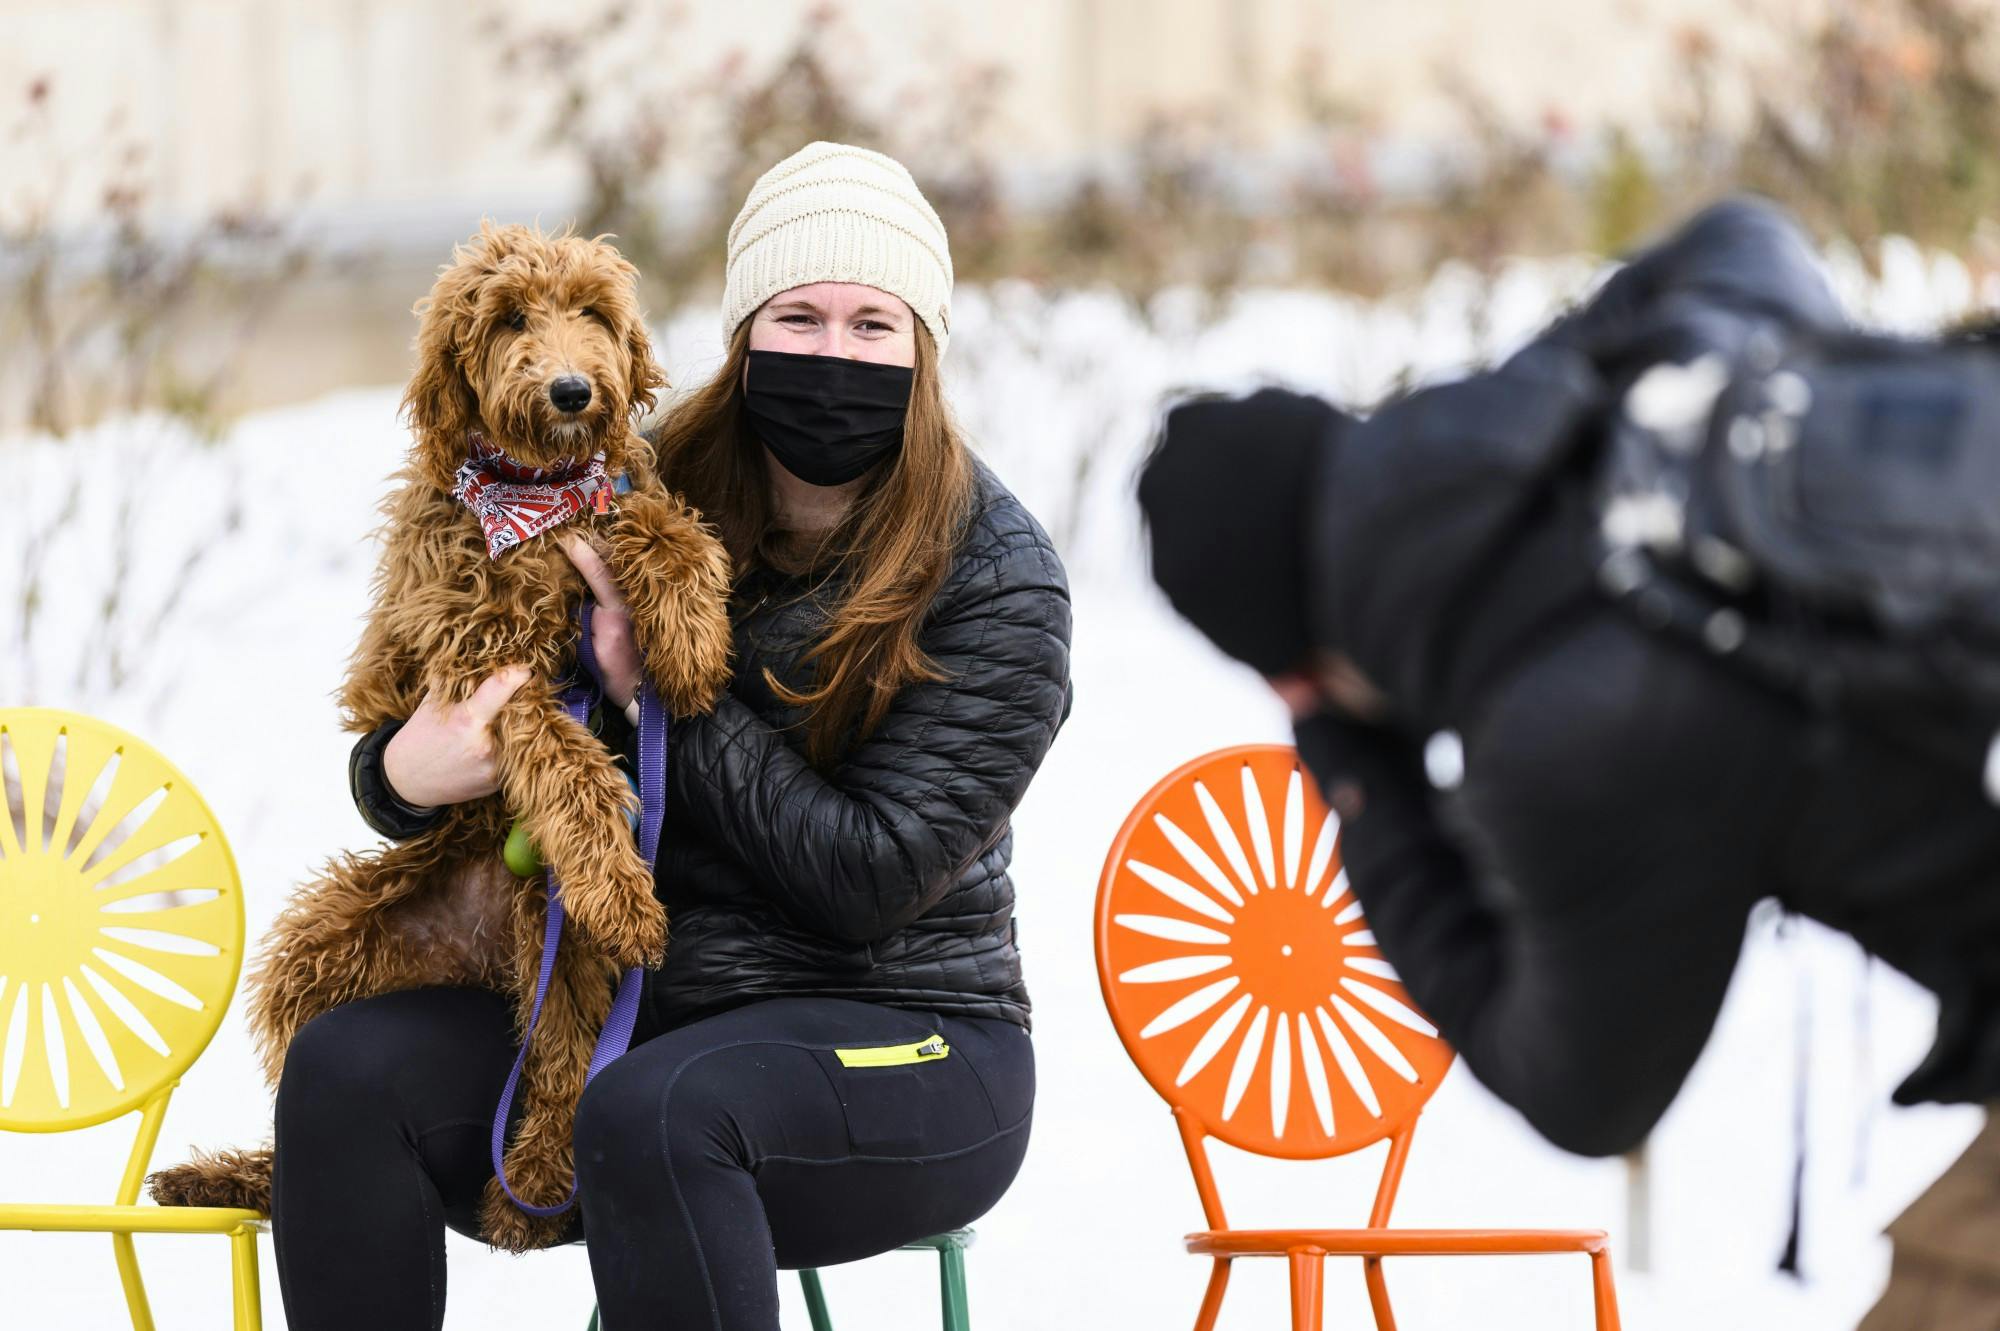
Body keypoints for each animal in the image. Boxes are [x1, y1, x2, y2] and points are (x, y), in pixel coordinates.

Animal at [148, 222, 732, 1247]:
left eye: (592, 312)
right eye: (509, 319)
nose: (572, 391)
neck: (534, 505)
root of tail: (473, 950)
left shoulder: (610, 501)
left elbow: (664, 522)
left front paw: (693, 633)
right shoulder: (480, 666)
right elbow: (569, 759)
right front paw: (625, 888)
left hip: (552, 928)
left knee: (560, 1051)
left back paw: (530, 1186)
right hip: (323, 944)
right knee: (301, 1081)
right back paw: (240, 1175)